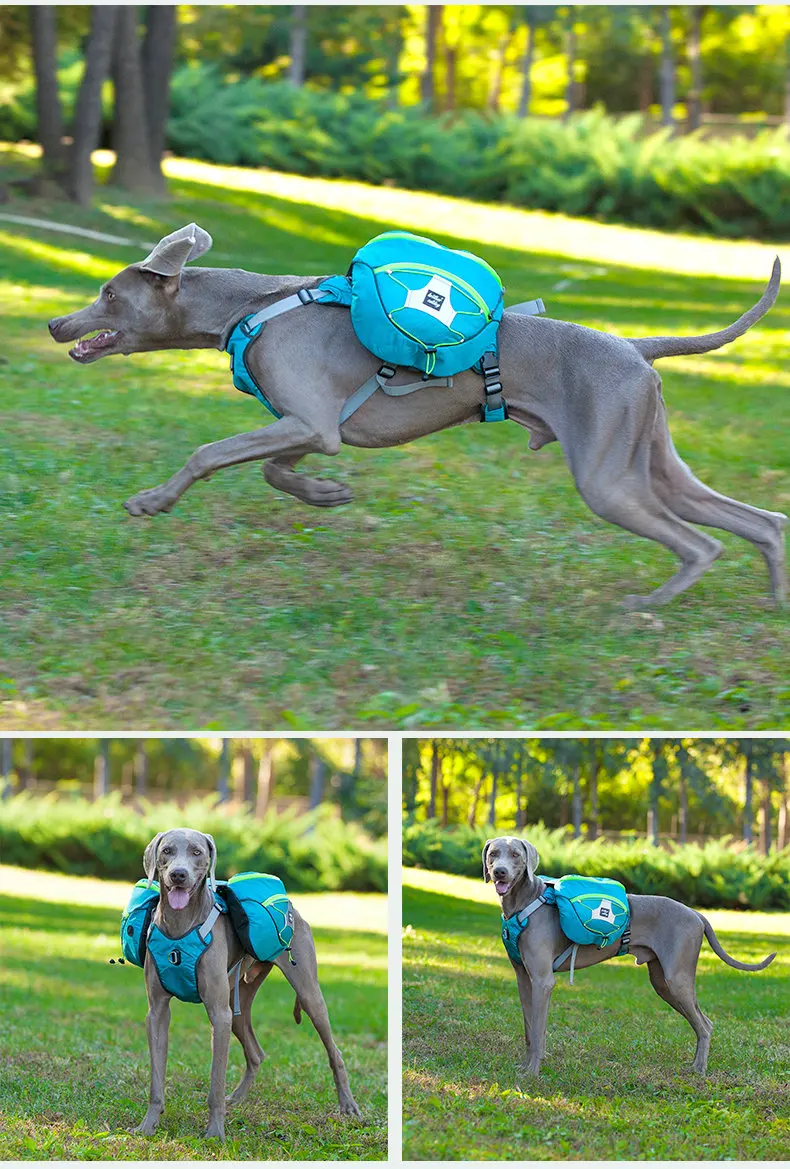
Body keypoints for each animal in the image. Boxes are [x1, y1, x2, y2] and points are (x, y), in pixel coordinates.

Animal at [46, 220, 785, 612]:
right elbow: (276, 471)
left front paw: (151, 501)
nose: (55, 324)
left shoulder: (308, 421)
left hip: (608, 477)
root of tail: (635, 347)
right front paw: (326, 494)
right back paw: (774, 598)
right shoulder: (314, 425)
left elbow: (209, 454)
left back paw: (645, 607)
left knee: (700, 543)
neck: (247, 308)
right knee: (760, 522)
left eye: (107, 292)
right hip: (649, 460)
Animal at [134, 827, 359, 1136]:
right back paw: (237, 1098)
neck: (181, 927)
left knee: (334, 1051)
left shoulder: (219, 1015)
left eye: (196, 852)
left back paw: (348, 1106)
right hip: (237, 1006)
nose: (178, 875)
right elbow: (156, 1080)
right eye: (167, 850)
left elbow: (215, 1084)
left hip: (307, 994)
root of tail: (293, 908)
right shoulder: (157, 1012)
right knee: (256, 1054)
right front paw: (147, 1126)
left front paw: (215, 1133)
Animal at [483, 832, 775, 1075]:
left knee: (704, 1025)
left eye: (516, 855)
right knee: (705, 1022)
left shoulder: (543, 981)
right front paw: (524, 1066)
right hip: (663, 982)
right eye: (493, 853)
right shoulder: (524, 979)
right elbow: (529, 1029)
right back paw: (694, 1064)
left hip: (676, 978)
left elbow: (538, 1031)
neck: (523, 903)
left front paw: (532, 1073)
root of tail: (696, 914)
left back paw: (699, 1071)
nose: (499, 872)